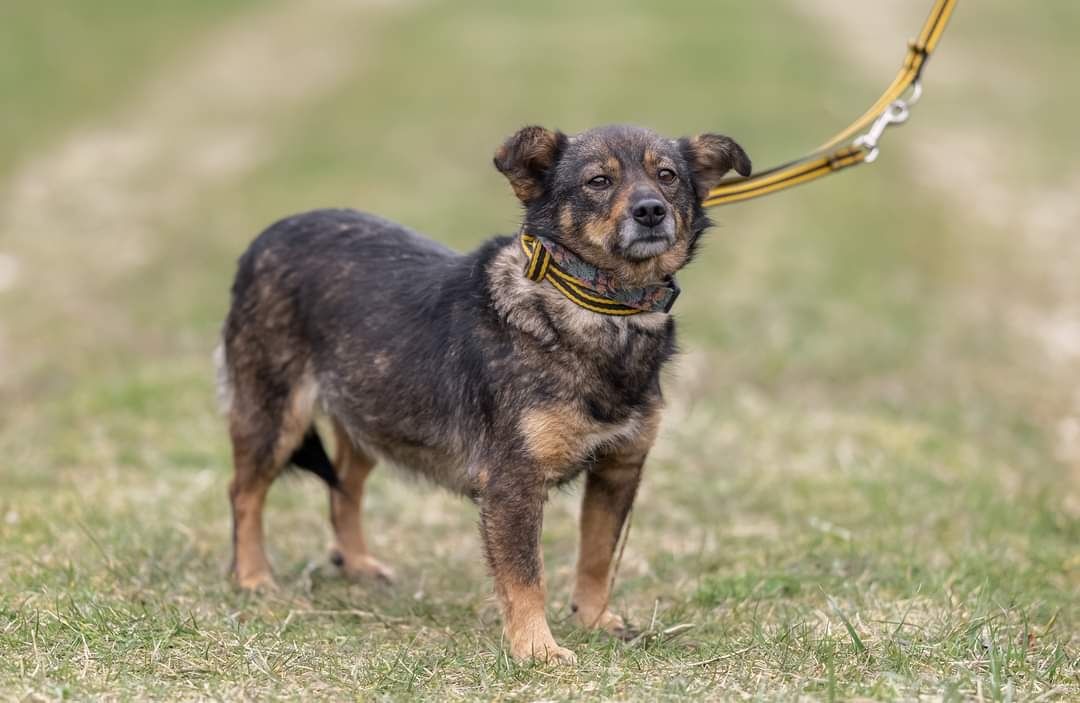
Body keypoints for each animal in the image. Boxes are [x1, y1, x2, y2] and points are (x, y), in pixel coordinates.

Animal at [214, 123, 747, 660]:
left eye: (668, 176)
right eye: (598, 181)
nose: (651, 210)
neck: (601, 308)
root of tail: (268, 236)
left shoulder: (619, 469)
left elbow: (597, 558)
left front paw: (595, 620)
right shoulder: (514, 482)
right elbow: (527, 576)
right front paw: (537, 650)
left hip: (371, 411)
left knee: (345, 485)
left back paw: (357, 564)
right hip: (274, 414)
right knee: (244, 491)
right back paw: (254, 577)